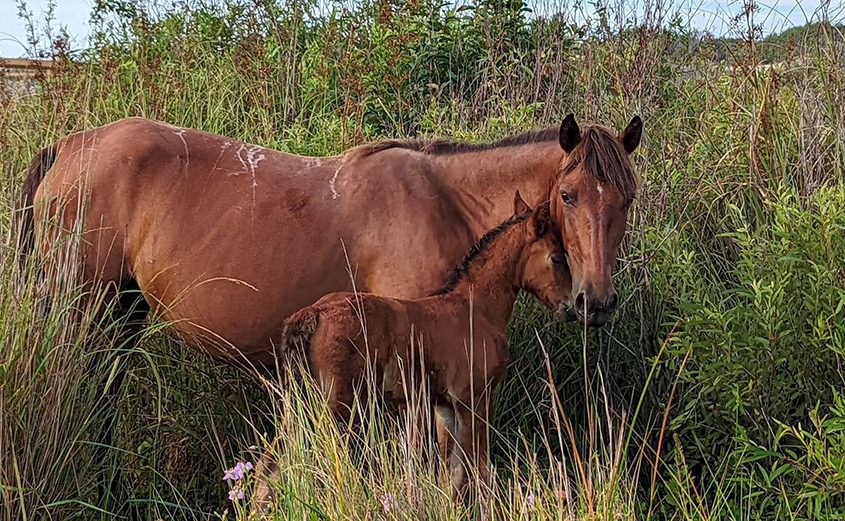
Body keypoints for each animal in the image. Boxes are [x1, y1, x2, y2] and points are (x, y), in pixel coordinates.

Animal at [256, 193, 572, 506]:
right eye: (557, 258)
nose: (571, 306)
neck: (475, 309)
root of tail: (314, 313)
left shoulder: (444, 405)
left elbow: (454, 472)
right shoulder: (473, 399)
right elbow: (478, 467)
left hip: (302, 402)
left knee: (270, 464)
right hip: (336, 405)